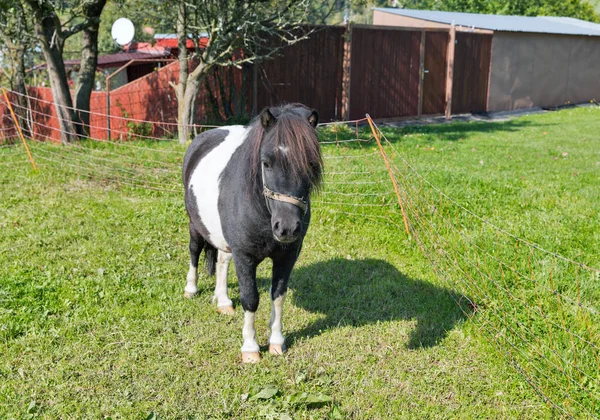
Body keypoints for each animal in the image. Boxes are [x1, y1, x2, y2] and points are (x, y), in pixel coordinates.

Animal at [182, 103, 324, 362]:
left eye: (309, 164)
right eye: (266, 163)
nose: (287, 227)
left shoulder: (287, 257)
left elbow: (277, 296)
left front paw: (276, 342)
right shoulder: (245, 256)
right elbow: (251, 298)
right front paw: (250, 348)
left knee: (222, 260)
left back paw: (223, 301)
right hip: (195, 225)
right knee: (194, 251)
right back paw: (191, 289)